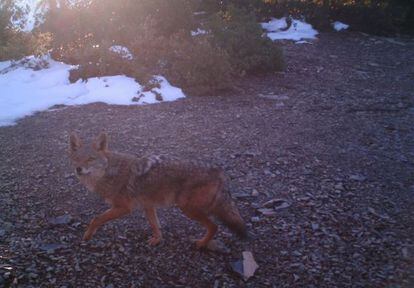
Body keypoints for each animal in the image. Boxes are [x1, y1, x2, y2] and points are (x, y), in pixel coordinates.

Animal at [69, 133, 247, 248]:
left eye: (90, 159)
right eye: (76, 159)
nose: (78, 169)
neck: (110, 172)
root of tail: (220, 172)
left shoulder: (123, 208)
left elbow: (96, 219)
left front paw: (87, 235)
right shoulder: (148, 206)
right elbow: (155, 226)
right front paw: (157, 240)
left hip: (188, 209)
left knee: (214, 226)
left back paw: (201, 244)